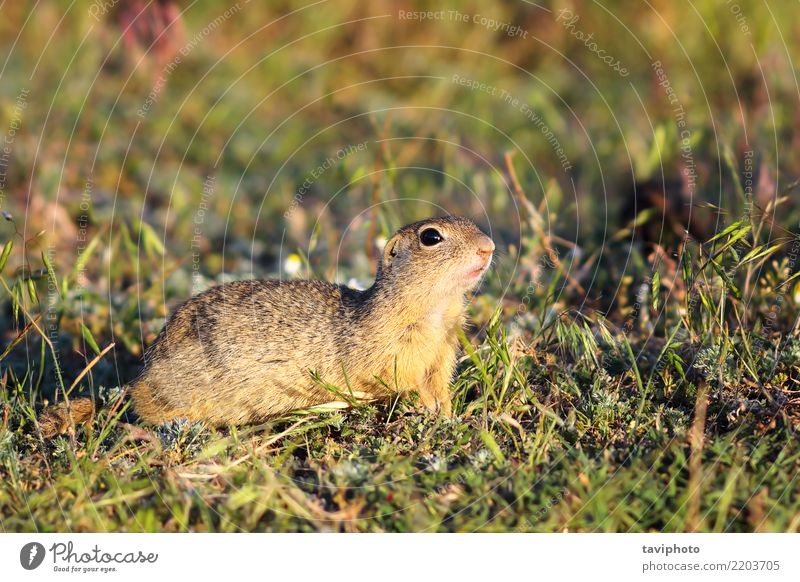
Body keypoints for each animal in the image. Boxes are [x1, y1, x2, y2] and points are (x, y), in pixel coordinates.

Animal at [39, 217, 494, 436]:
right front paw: (426, 409)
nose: (489, 246)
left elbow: (438, 385)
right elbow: (398, 381)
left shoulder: (443, 352)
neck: (434, 311)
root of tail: (138, 380)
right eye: (431, 237)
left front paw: (447, 413)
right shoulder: (386, 352)